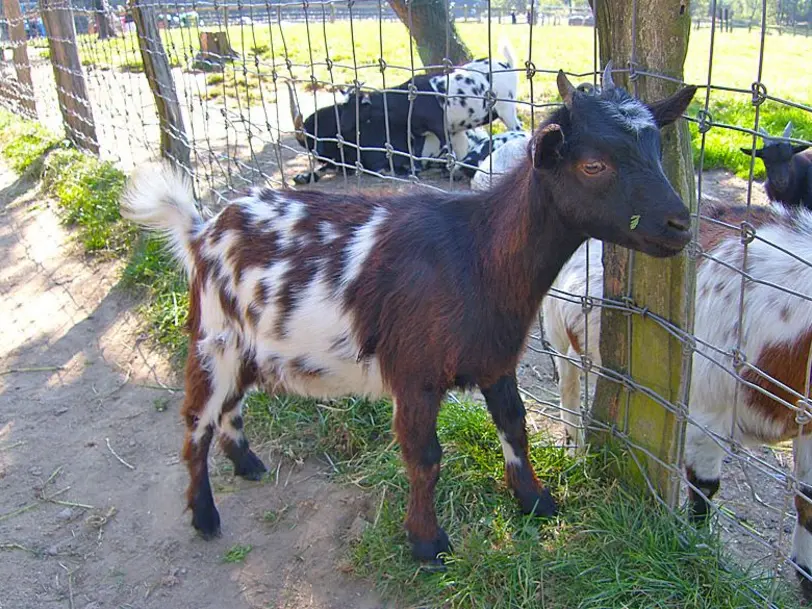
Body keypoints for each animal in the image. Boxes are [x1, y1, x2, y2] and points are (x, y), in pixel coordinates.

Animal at [122, 66, 696, 564]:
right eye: (593, 164)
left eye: (658, 152)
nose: (680, 224)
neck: (476, 254)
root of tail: (203, 230)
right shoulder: (415, 372)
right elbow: (424, 457)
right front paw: (427, 544)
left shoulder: (496, 360)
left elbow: (515, 428)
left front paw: (536, 502)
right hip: (213, 334)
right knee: (197, 416)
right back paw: (204, 515)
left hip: (247, 343)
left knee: (231, 403)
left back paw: (248, 464)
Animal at [544, 203, 812, 600]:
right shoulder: (705, 416)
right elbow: (704, 489)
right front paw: (698, 551)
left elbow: (807, 499)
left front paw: (805, 576)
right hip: (557, 326)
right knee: (568, 384)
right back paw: (575, 450)